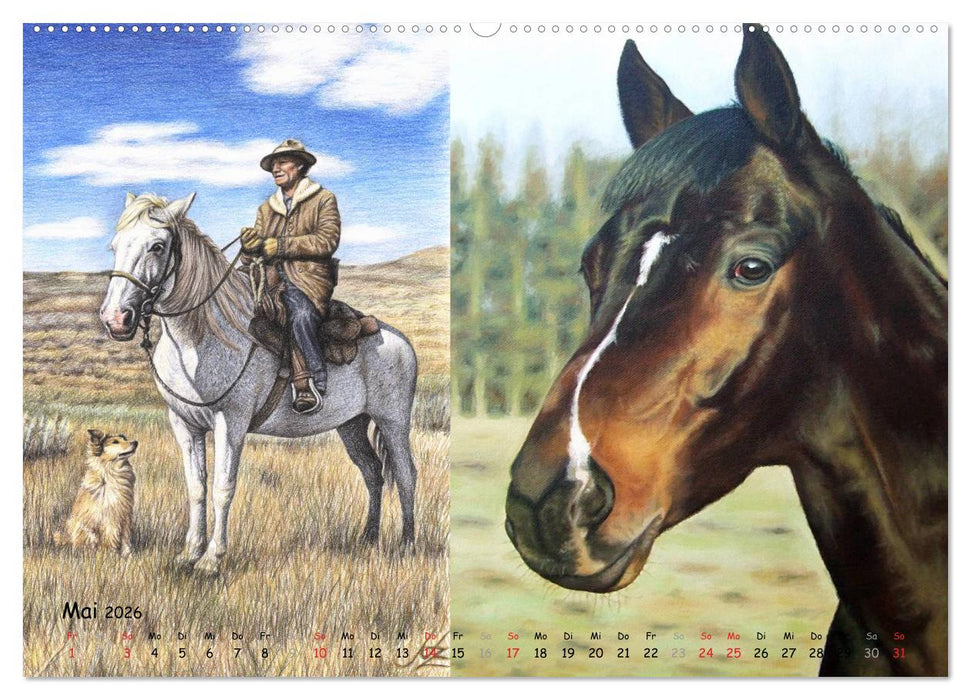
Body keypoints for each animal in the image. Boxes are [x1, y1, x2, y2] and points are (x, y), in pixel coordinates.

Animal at [99, 192, 419, 576]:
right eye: (115, 246)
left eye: (157, 246)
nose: (115, 319)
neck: (199, 339)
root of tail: (398, 339)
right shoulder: (184, 424)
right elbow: (195, 487)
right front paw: (189, 552)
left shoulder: (230, 422)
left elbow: (222, 487)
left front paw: (211, 559)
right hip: (351, 425)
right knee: (372, 473)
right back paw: (368, 539)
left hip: (393, 421)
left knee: (406, 474)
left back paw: (407, 544)